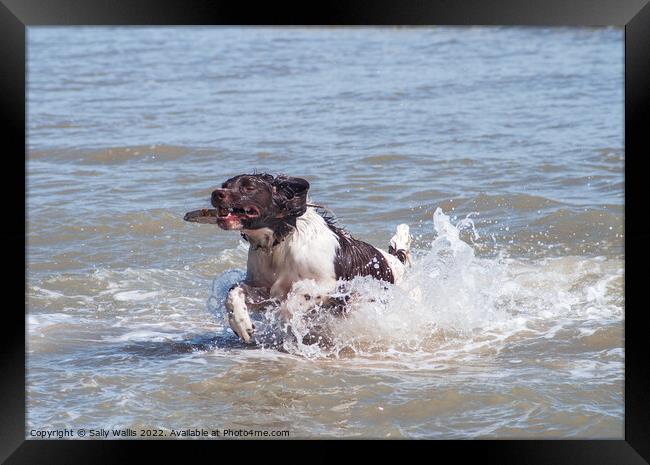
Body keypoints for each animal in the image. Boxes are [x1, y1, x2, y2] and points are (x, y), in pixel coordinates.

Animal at [202, 172, 410, 342]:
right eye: (225, 184)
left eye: (248, 187)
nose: (216, 193)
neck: (280, 242)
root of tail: (395, 261)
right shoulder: (263, 288)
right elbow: (233, 292)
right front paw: (241, 325)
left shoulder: (330, 285)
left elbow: (294, 302)